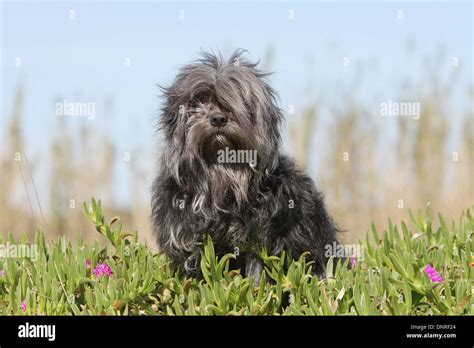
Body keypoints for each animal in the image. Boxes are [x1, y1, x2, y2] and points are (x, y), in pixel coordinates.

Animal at [152, 49, 340, 282]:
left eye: (241, 102)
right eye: (198, 101)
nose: (218, 118)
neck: (220, 176)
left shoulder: (259, 241)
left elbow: (256, 274)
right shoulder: (187, 242)